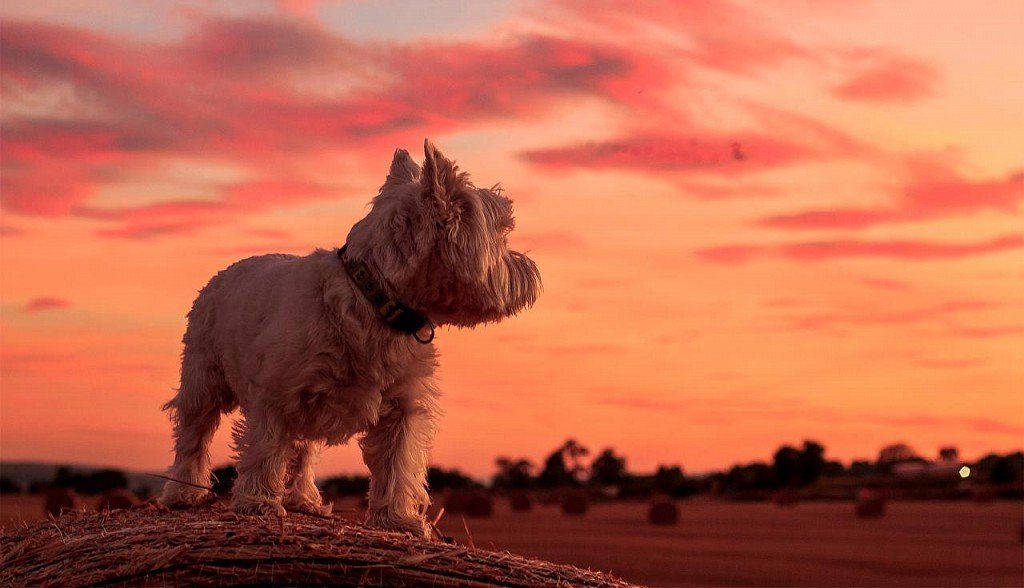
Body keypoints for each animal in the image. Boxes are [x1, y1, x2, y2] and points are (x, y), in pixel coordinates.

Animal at [157, 141, 544, 540]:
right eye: (502, 232)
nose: (532, 271)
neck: (375, 300)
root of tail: (223, 272)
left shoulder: (401, 408)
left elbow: (397, 464)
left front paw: (397, 519)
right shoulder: (275, 394)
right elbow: (265, 447)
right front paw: (257, 503)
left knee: (304, 451)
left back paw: (305, 501)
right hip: (204, 379)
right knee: (194, 434)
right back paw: (183, 493)